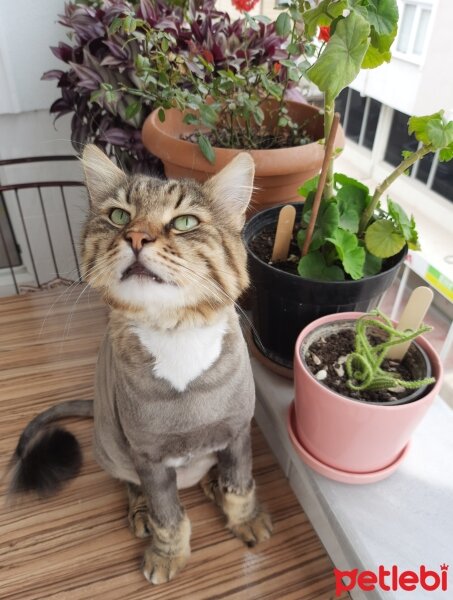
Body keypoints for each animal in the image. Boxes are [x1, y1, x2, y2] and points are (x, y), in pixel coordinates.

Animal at [7, 146, 272, 584]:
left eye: (185, 222)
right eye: (119, 216)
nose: (135, 236)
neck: (177, 336)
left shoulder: (237, 433)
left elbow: (242, 485)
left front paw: (244, 517)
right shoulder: (148, 456)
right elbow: (169, 515)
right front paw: (168, 553)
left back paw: (211, 483)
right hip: (111, 446)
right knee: (129, 482)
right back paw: (141, 508)